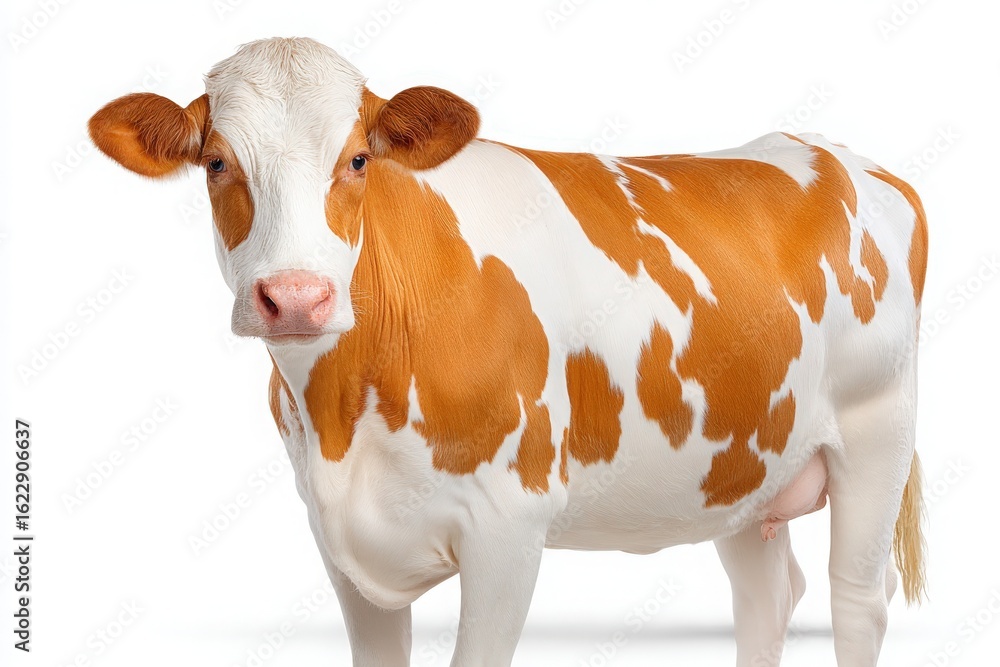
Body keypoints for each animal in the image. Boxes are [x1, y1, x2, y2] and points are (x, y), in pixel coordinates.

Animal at [88, 37, 928, 667]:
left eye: (358, 160)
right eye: (217, 162)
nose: (295, 296)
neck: (343, 417)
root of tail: (833, 150)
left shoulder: (507, 528)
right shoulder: (336, 537)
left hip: (878, 430)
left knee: (857, 598)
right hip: (740, 463)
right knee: (766, 598)